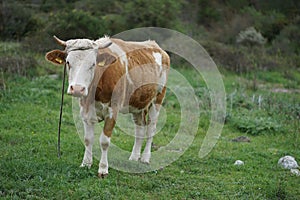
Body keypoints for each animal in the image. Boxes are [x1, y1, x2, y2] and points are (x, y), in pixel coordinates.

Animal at [45, 35, 170, 177]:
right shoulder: (86, 111)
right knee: (140, 128)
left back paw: (145, 158)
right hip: (138, 104)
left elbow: (104, 141)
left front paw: (103, 169)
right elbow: (88, 139)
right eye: (68, 62)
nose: (77, 89)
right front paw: (86, 164)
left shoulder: (113, 111)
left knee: (151, 129)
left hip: (158, 99)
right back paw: (134, 157)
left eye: (93, 64)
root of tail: (155, 46)